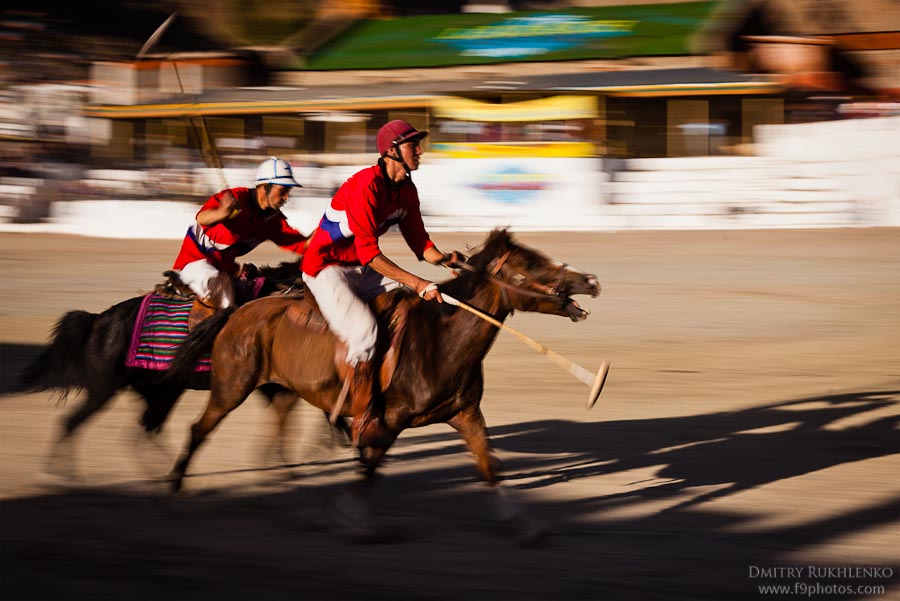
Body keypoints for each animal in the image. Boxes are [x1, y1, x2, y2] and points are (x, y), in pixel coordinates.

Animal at [7, 260, 312, 476]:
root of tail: (97, 320)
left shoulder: (267, 381)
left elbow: (285, 408)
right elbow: (286, 408)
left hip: (158, 390)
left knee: (141, 430)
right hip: (106, 388)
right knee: (74, 422)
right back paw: (64, 474)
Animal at [165, 229, 600, 540]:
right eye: (532, 263)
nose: (591, 280)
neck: (441, 339)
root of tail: (237, 311)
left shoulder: (466, 413)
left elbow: (489, 464)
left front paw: (523, 523)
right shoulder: (387, 420)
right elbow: (369, 468)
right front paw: (350, 521)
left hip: (284, 390)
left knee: (276, 436)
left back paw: (290, 498)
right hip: (231, 386)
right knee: (198, 429)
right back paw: (174, 490)